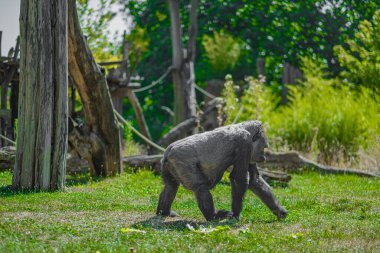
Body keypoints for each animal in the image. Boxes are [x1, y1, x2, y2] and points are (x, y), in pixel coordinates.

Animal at [156, 120, 286, 221]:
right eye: (264, 147)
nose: (263, 157)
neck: (244, 128)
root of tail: (168, 152)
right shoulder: (245, 143)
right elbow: (238, 179)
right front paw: (236, 214)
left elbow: (255, 180)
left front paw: (279, 210)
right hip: (180, 160)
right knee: (200, 187)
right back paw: (213, 216)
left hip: (166, 164)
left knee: (170, 186)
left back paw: (164, 212)